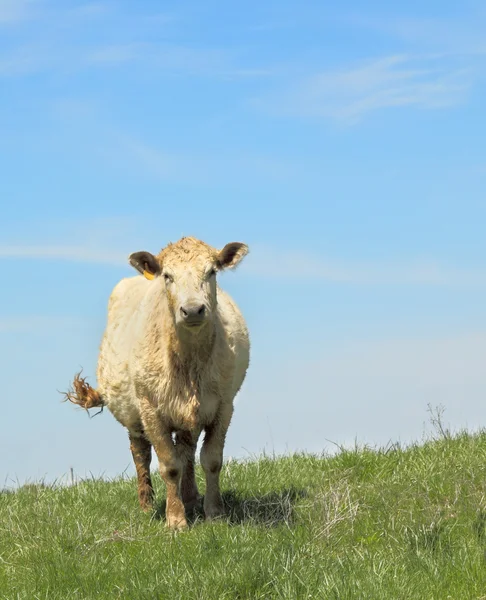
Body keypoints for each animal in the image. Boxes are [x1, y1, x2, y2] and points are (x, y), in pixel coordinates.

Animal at [64, 237, 251, 528]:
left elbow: (211, 459)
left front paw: (214, 513)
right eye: (167, 276)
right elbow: (169, 465)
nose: (193, 310)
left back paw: (191, 498)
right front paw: (175, 520)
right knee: (141, 453)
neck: (190, 361)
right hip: (133, 413)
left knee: (186, 451)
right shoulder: (150, 409)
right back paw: (147, 505)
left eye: (211, 272)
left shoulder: (223, 405)